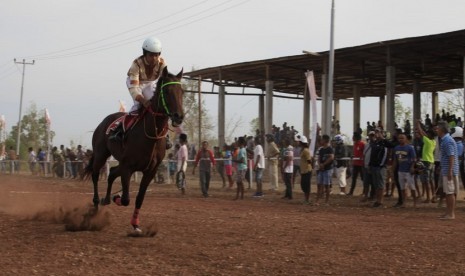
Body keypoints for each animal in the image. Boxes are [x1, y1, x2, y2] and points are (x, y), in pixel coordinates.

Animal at [83, 66, 183, 233]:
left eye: (182, 91)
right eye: (167, 91)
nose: (179, 116)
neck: (151, 134)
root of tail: (103, 122)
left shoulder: (150, 170)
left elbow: (139, 198)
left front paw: (135, 224)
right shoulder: (128, 167)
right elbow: (125, 199)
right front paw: (116, 197)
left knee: (112, 173)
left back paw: (106, 199)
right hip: (101, 154)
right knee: (96, 174)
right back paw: (97, 203)